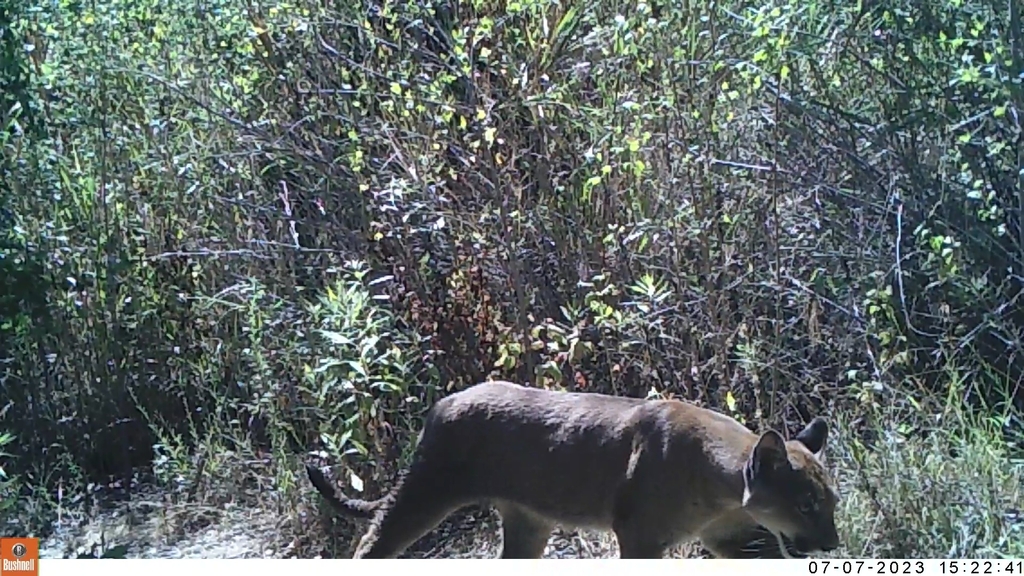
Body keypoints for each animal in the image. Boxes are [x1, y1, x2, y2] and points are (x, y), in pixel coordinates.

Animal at [303, 377, 839, 557]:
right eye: (806, 504)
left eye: (831, 502)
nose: (833, 544)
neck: (724, 487)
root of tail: (446, 401)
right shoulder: (641, 538)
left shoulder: (733, 537)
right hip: (428, 490)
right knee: (373, 540)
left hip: (527, 522)